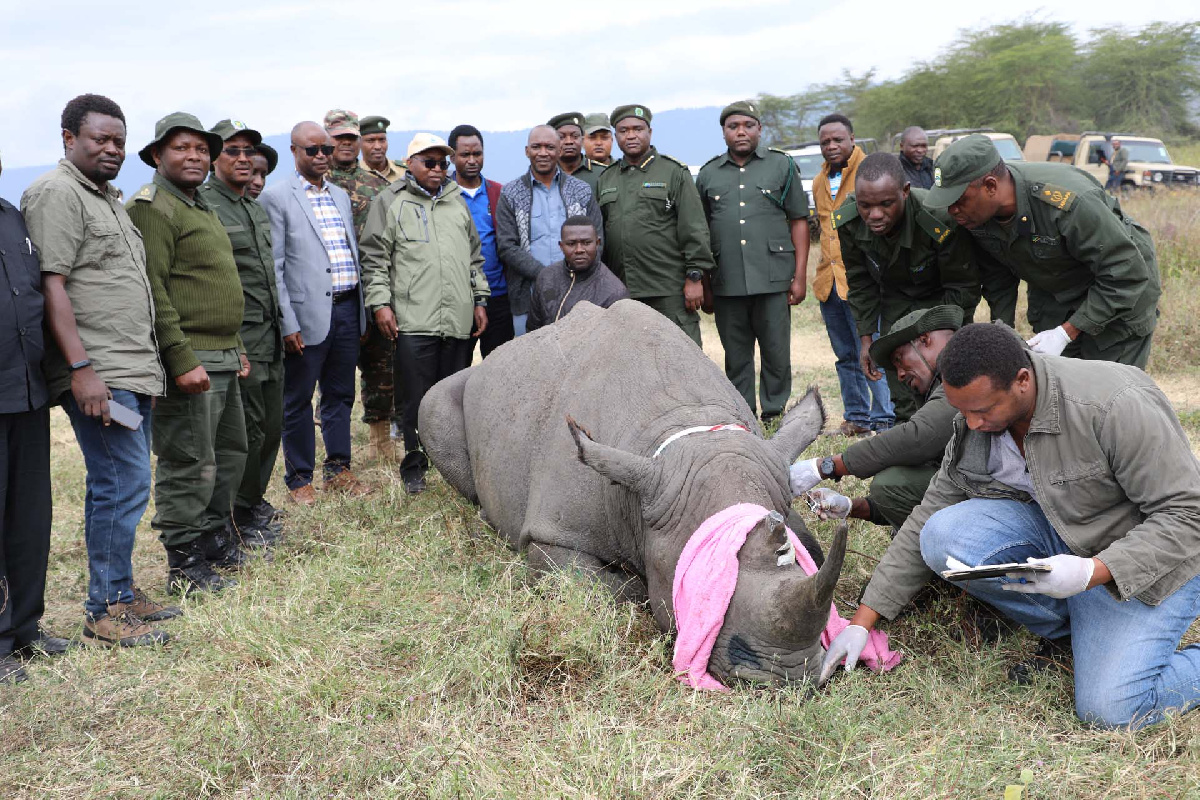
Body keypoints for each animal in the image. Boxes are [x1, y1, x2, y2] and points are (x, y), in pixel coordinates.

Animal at [420, 297, 844, 686]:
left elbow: (812, 547)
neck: (685, 429)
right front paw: (638, 586)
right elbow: (609, 586)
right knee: (431, 405)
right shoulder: (554, 533)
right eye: (706, 591)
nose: (788, 677)